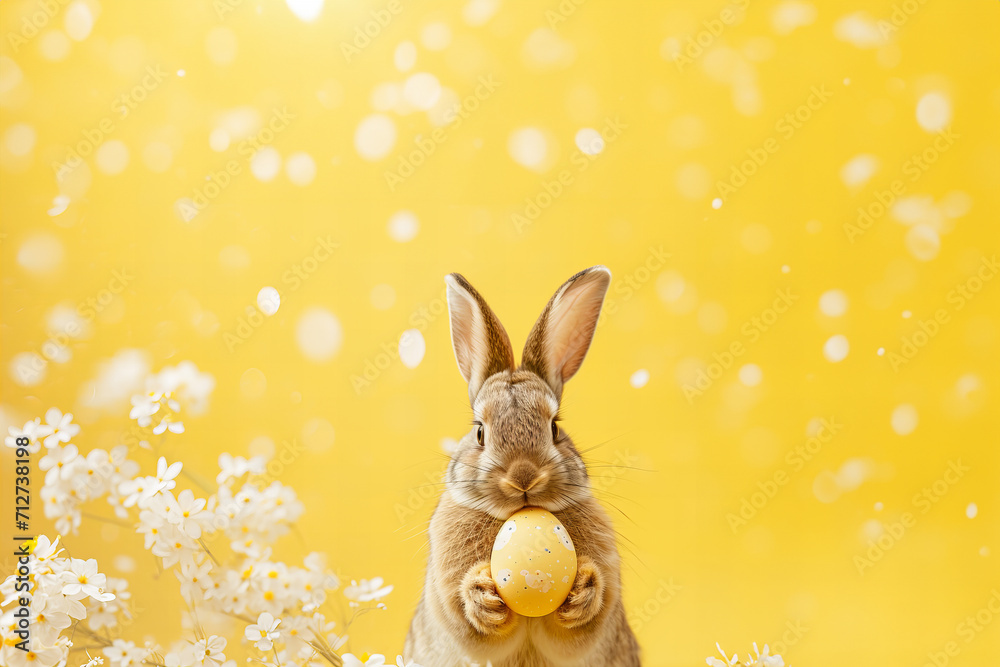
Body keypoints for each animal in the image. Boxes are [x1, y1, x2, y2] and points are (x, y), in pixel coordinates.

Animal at [405, 266, 641, 667]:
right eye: (480, 433)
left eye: (555, 428)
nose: (523, 476)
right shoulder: (446, 590)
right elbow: (468, 620)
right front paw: (482, 595)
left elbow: (583, 623)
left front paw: (583, 589)